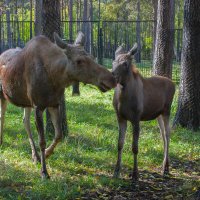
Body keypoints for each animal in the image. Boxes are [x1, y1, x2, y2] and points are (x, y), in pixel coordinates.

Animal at [0, 32, 115, 179]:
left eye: (92, 56)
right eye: (79, 61)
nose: (111, 78)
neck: (57, 78)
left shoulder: (54, 104)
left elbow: (59, 134)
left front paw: (46, 154)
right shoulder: (38, 106)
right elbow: (42, 141)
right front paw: (44, 172)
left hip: (26, 102)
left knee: (25, 121)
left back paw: (35, 156)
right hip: (3, 95)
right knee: (3, 117)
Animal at [112, 44, 175, 181]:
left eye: (125, 63)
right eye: (113, 62)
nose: (112, 75)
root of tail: (173, 83)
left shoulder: (136, 118)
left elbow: (135, 147)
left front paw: (135, 174)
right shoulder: (120, 117)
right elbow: (119, 144)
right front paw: (116, 171)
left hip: (167, 110)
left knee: (167, 134)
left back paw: (165, 167)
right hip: (158, 115)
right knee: (163, 135)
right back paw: (164, 164)